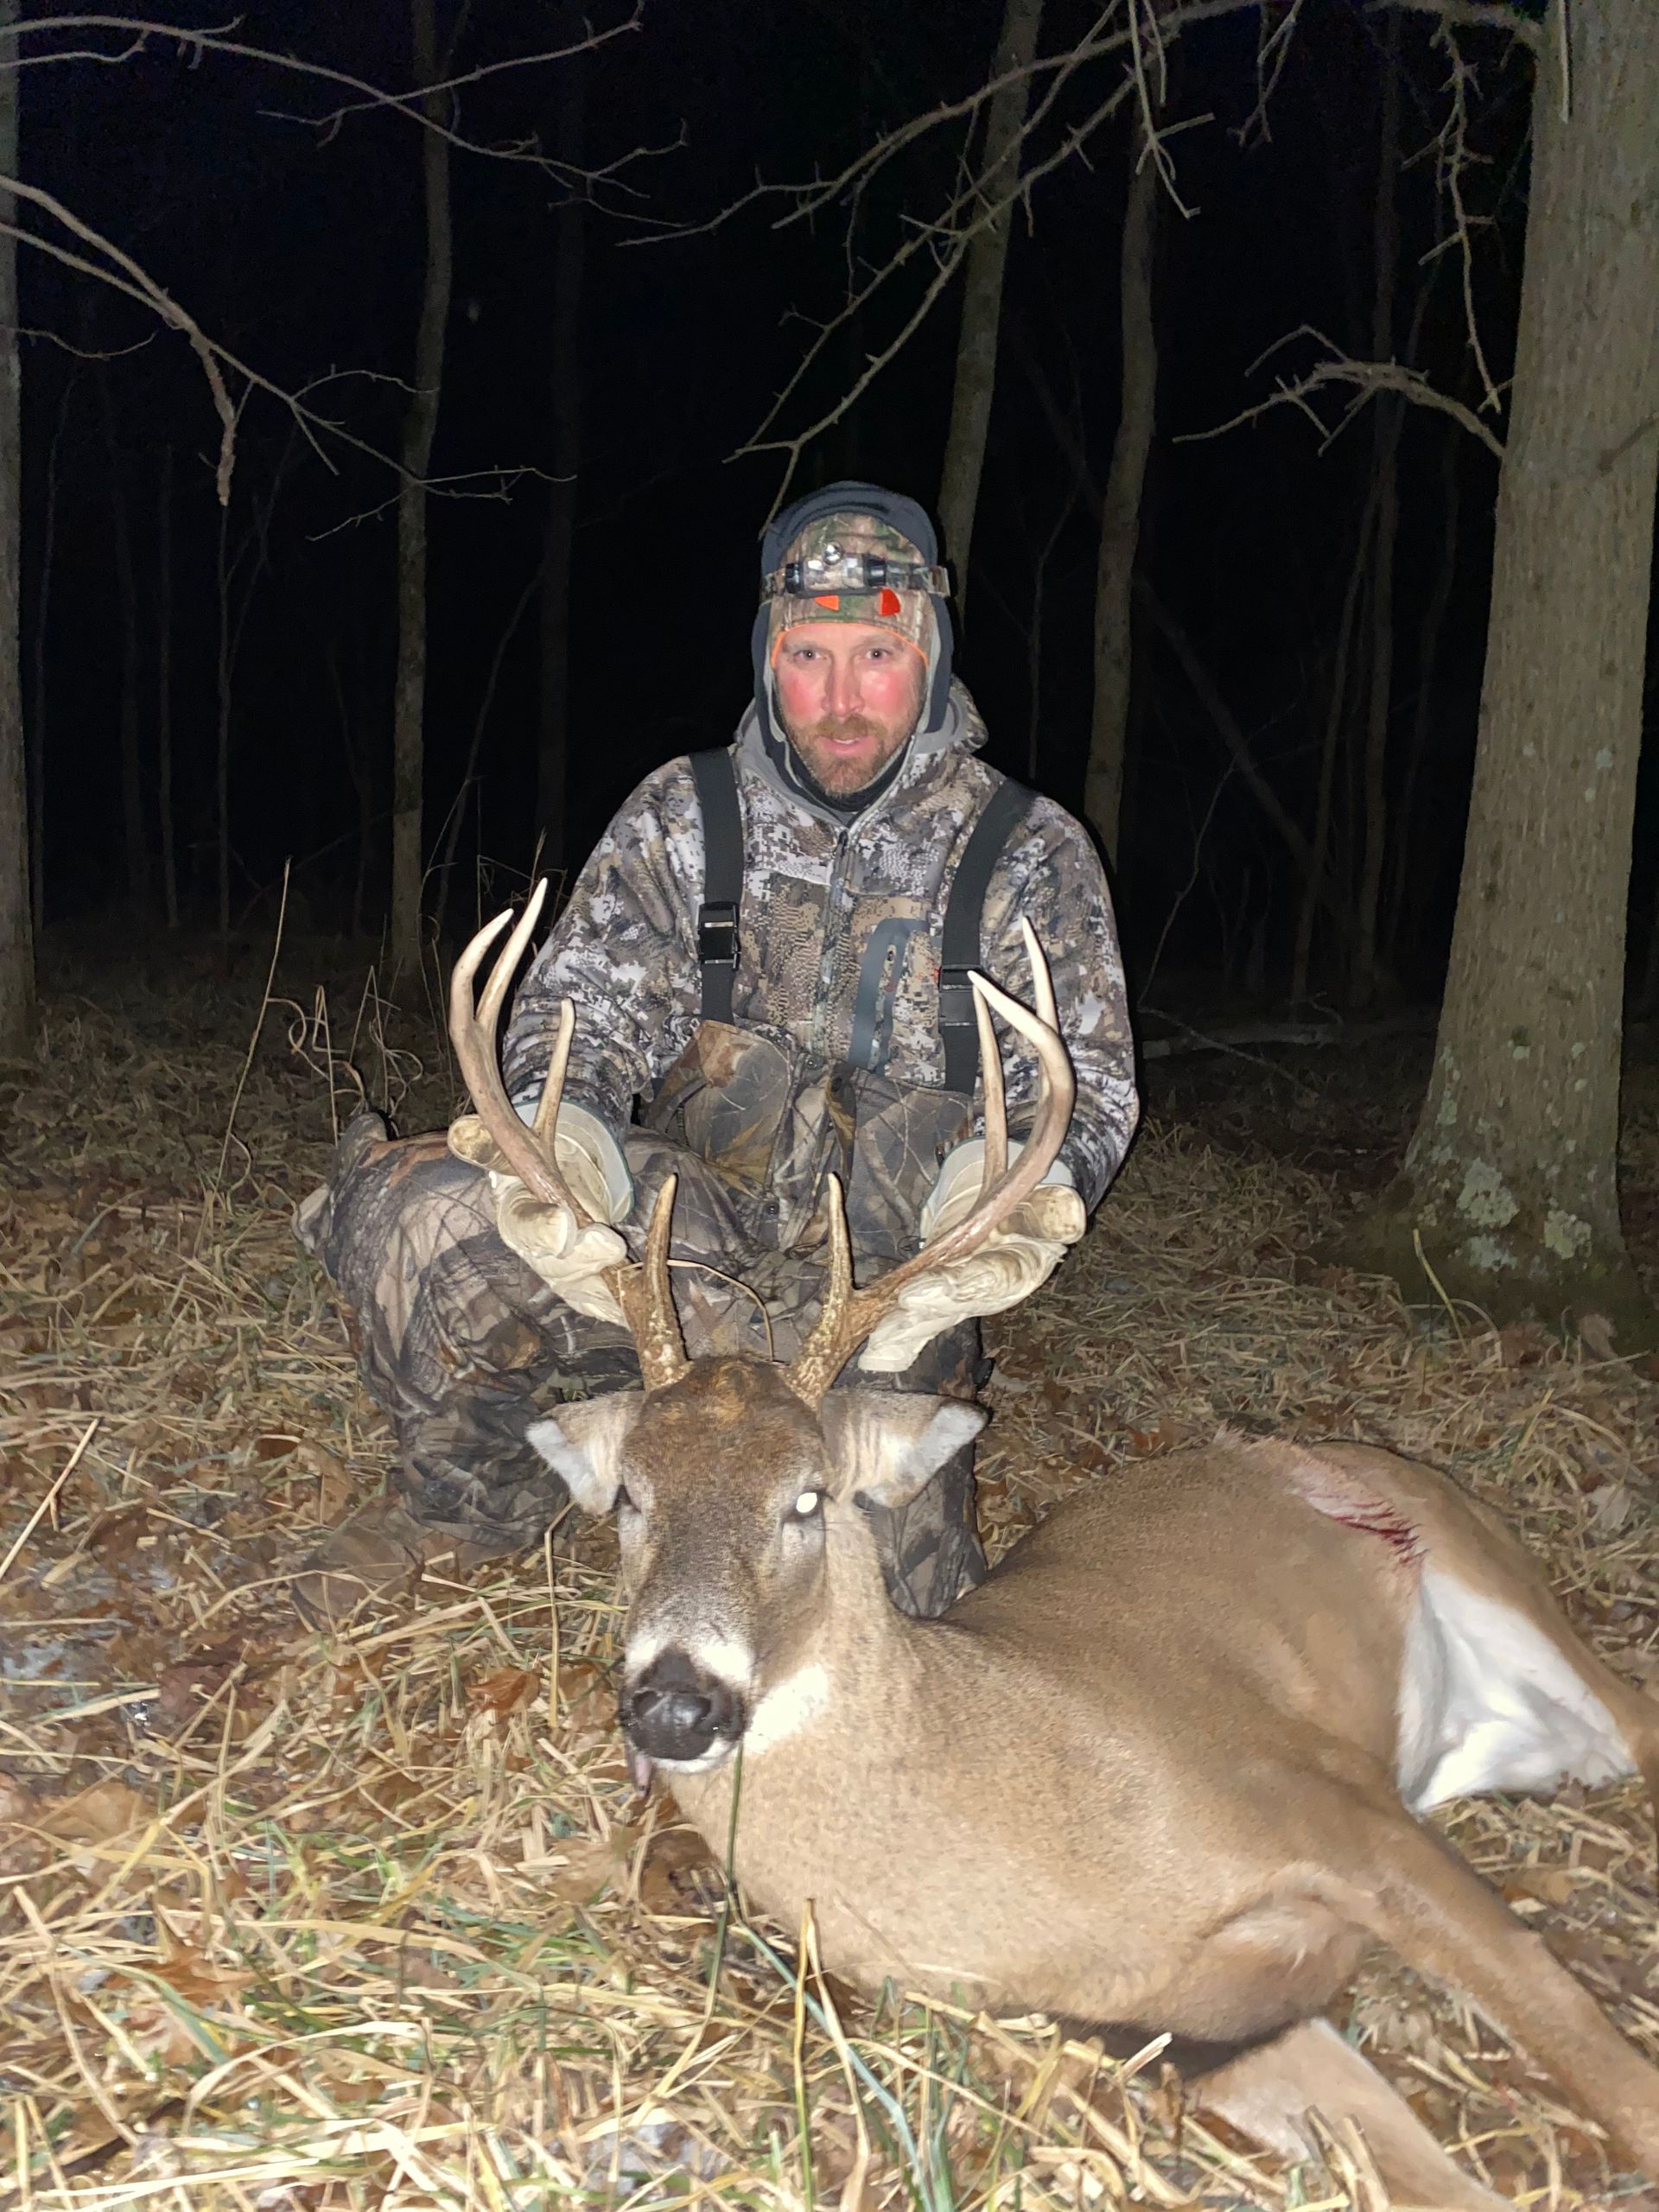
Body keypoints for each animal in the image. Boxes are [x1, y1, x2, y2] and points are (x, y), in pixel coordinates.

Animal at [450, 890, 1659, 2211]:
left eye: (809, 1499)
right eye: (629, 1495)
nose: (676, 1701)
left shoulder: (1329, 1805)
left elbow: (1608, 2072)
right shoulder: (1196, 2030)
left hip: (1482, 1557)